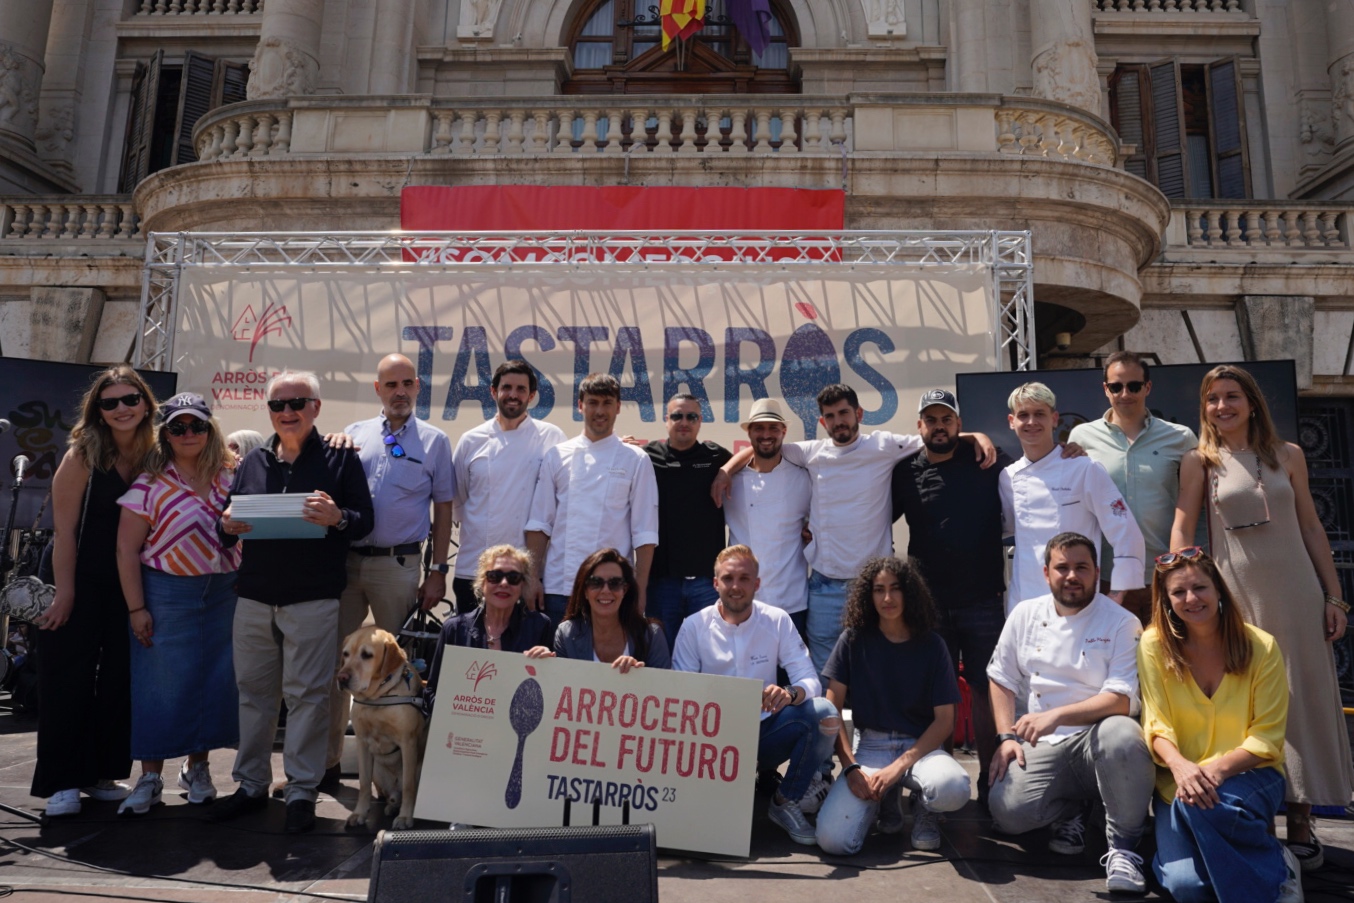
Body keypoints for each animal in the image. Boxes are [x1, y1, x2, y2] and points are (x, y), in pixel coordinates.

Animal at [335, 628, 425, 833]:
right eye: (346, 654)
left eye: (367, 655)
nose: (341, 678)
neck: (378, 698)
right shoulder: (361, 741)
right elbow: (363, 783)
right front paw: (359, 814)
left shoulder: (408, 742)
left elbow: (409, 786)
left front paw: (405, 817)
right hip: (378, 771)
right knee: (390, 796)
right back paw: (392, 806)